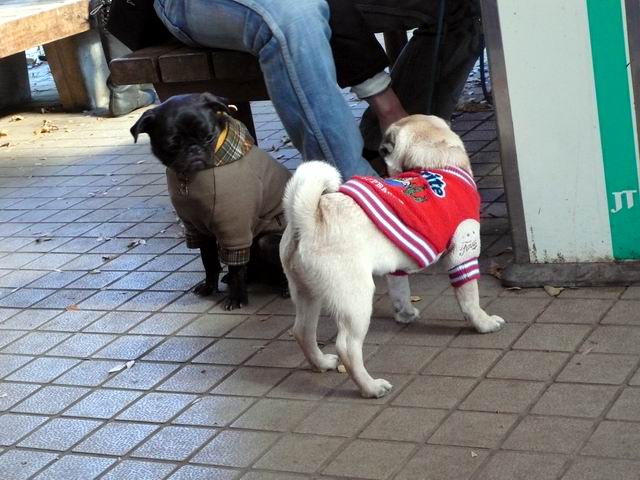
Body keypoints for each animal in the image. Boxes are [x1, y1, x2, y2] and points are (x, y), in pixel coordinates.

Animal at [131, 93, 291, 310]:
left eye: (209, 137)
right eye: (172, 145)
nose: (194, 149)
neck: (191, 179)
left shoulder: (234, 230)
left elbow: (235, 267)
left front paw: (237, 297)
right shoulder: (197, 229)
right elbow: (209, 261)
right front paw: (209, 287)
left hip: (267, 242)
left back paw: (284, 287)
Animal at [280, 115, 505, 398]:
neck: (435, 159)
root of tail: (309, 220)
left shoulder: (396, 267)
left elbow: (400, 290)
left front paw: (405, 313)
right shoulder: (463, 252)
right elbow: (469, 299)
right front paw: (483, 323)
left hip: (307, 293)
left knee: (303, 330)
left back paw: (321, 363)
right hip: (355, 299)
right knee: (347, 347)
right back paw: (370, 387)